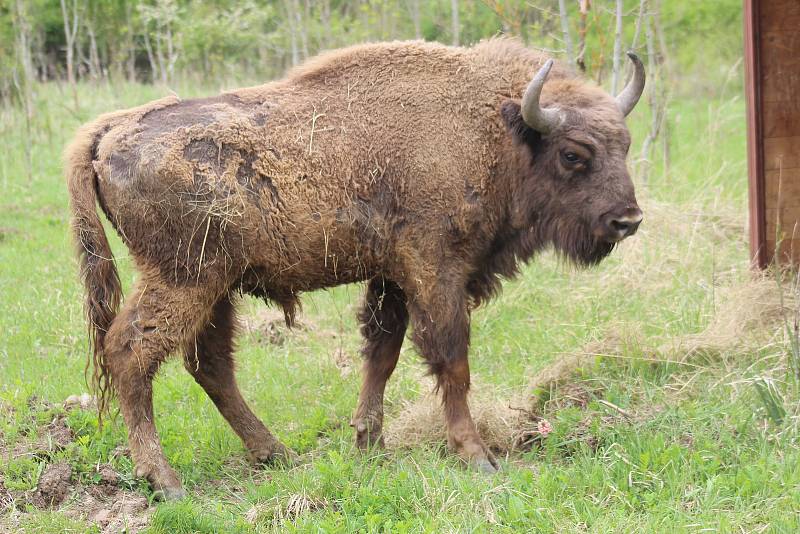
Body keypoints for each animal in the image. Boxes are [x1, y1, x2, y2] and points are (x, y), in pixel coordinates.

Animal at [67, 38, 644, 502]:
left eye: (626, 144)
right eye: (573, 154)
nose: (628, 219)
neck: (496, 128)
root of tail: (108, 131)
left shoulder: (391, 278)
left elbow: (382, 354)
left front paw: (369, 444)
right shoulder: (436, 272)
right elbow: (452, 361)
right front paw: (476, 455)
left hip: (217, 288)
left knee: (209, 364)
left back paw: (275, 452)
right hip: (183, 279)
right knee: (132, 353)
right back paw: (165, 481)